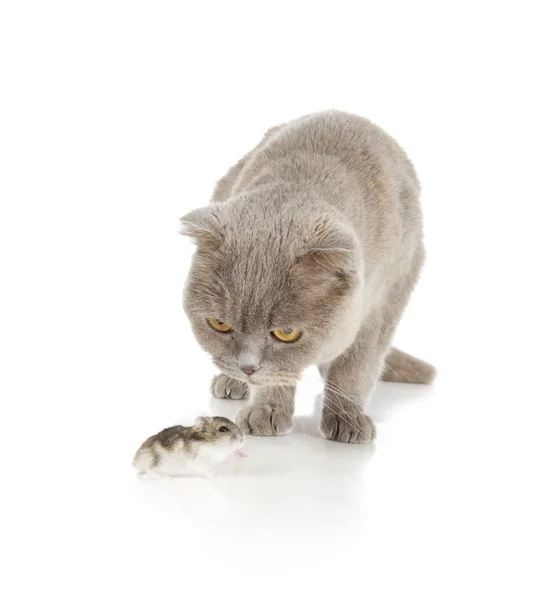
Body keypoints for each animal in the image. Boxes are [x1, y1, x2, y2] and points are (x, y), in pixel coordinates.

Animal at [181, 110, 436, 442]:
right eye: (219, 324)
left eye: (286, 333)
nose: (247, 367)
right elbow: (279, 373)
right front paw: (267, 409)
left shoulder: (379, 302)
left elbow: (357, 365)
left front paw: (347, 418)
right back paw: (232, 382)